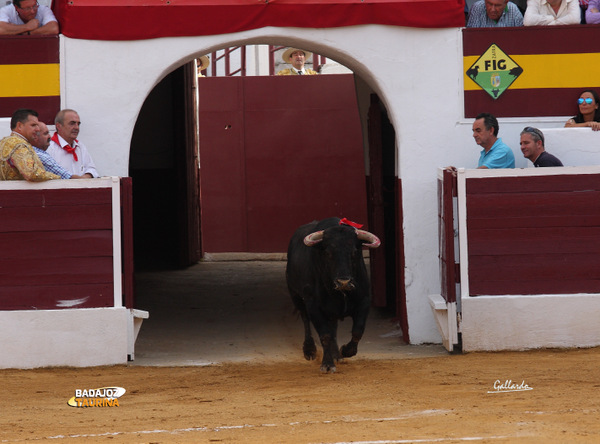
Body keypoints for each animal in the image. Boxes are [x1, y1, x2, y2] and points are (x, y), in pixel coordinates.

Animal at [284, 217, 380, 372]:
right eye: (328, 253)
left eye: (354, 252)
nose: (344, 282)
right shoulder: (313, 306)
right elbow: (325, 335)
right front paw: (327, 364)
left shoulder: (364, 301)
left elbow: (357, 330)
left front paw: (345, 351)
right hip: (296, 296)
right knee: (305, 319)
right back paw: (309, 350)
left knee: (334, 328)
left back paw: (336, 355)